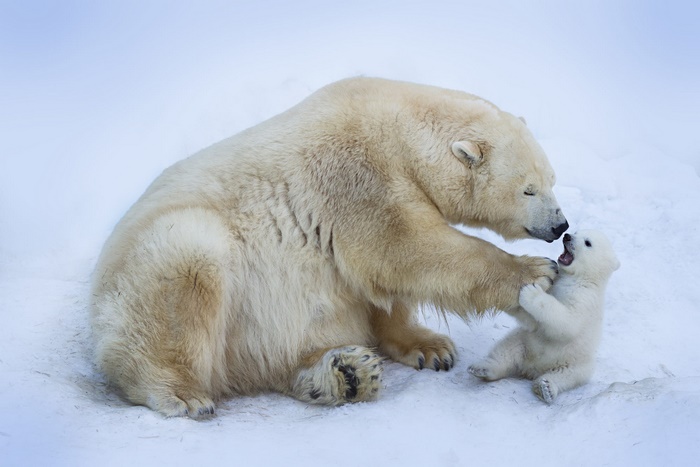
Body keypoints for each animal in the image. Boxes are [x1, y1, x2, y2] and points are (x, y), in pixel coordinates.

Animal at [90, 77, 568, 418]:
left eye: (552, 180)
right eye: (528, 189)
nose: (560, 225)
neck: (397, 129)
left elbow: (379, 285)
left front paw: (431, 348)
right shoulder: (354, 173)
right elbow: (404, 248)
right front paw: (536, 273)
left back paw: (346, 374)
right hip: (159, 265)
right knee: (185, 269)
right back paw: (182, 392)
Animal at [468, 230, 620, 403]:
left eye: (588, 243)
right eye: (577, 232)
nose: (567, 236)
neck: (580, 278)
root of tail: (533, 368)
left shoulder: (584, 299)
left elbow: (567, 323)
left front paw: (531, 291)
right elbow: (534, 322)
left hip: (577, 361)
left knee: (569, 375)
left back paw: (546, 388)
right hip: (524, 341)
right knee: (506, 351)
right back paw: (482, 368)